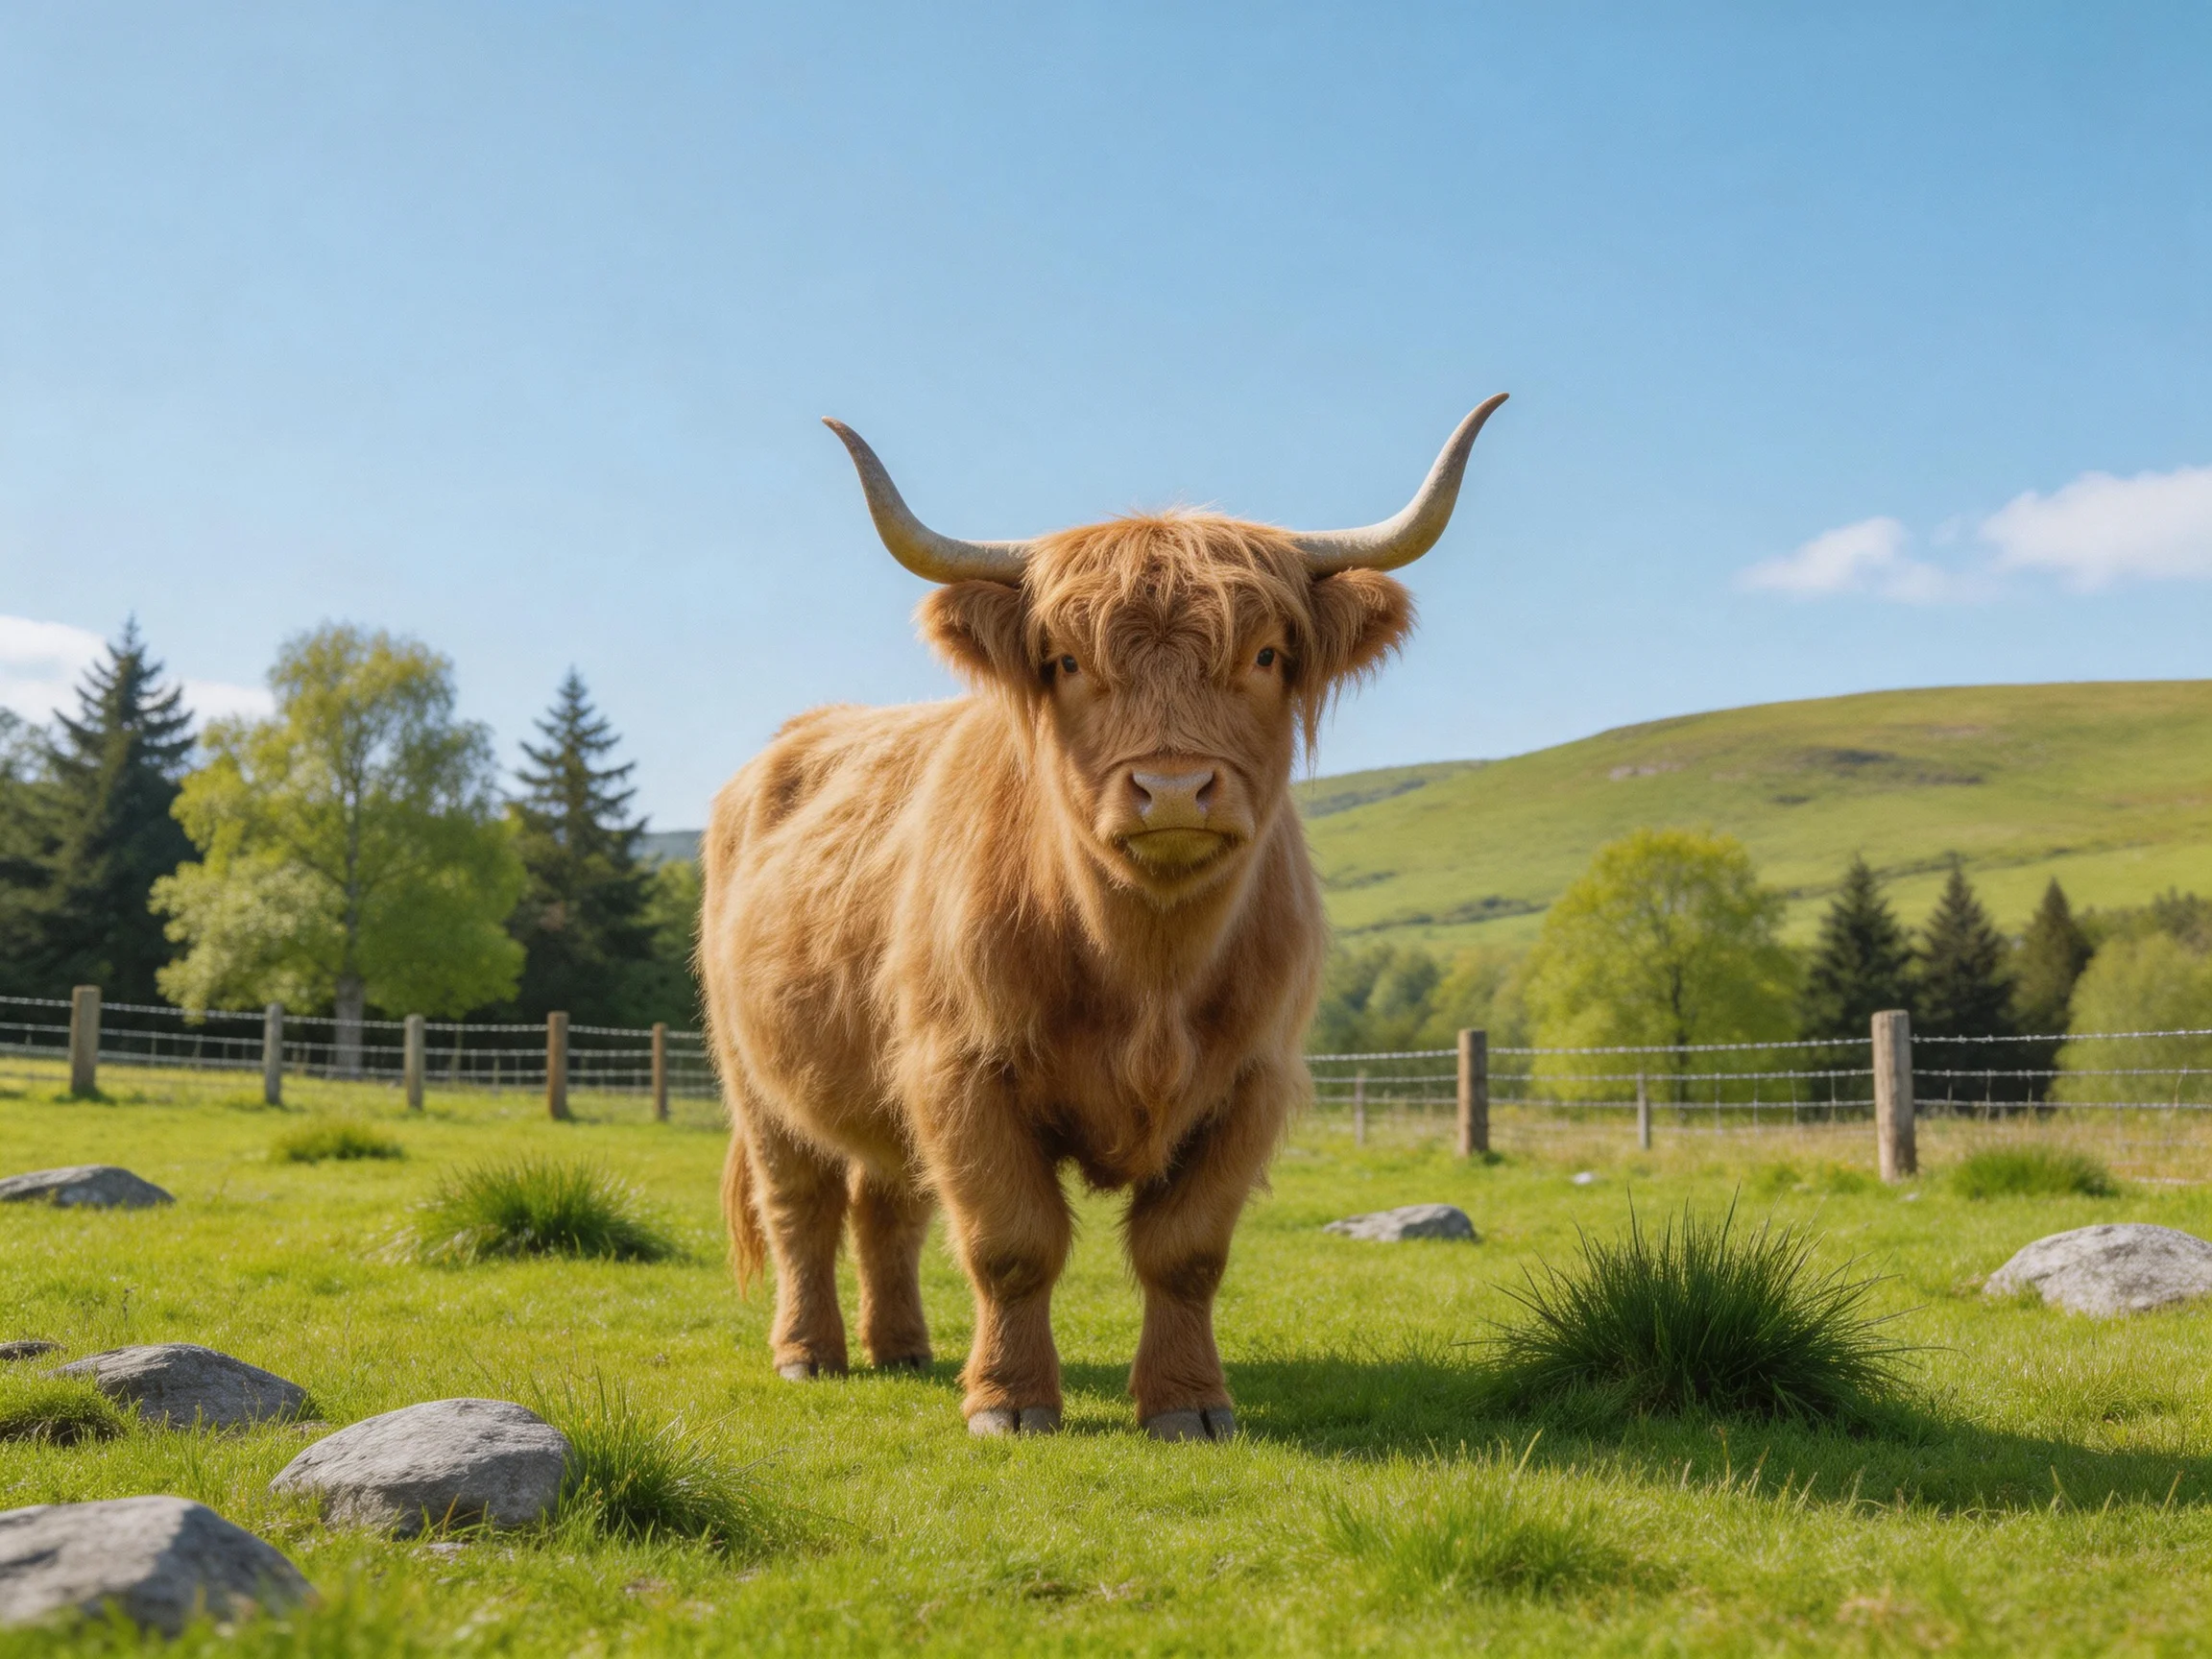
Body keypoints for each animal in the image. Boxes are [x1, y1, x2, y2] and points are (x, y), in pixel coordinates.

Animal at [700, 396, 1506, 1439]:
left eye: (1265, 654)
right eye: (1068, 660)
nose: (1172, 788)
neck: (1148, 971)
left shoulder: (1251, 1080)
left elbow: (1186, 1251)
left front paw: (1189, 1405)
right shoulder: (962, 1069)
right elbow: (1012, 1243)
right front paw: (1010, 1402)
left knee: (888, 1206)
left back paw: (905, 1347)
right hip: (756, 1078)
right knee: (800, 1205)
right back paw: (810, 1354)